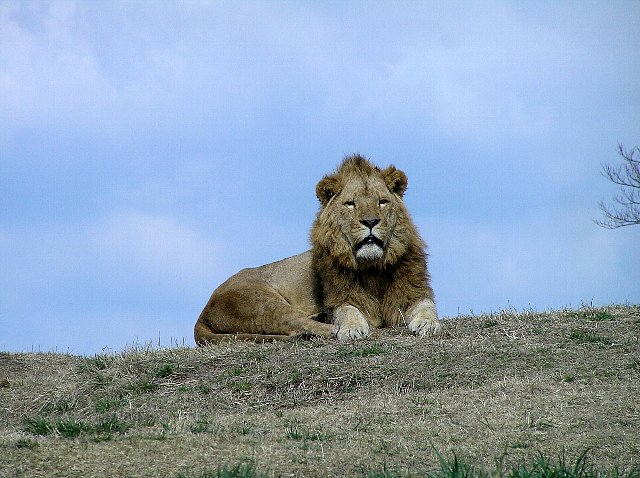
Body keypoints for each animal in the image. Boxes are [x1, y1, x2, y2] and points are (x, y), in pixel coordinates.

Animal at [195, 155, 440, 346]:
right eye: (350, 204)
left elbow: (427, 306)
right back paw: (330, 326)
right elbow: (347, 311)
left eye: (382, 202)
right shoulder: (340, 298)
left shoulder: (413, 292)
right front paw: (351, 328)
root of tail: (204, 311)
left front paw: (428, 324)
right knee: (295, 324)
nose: (370, 221)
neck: (373, 268)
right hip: (261, 302)